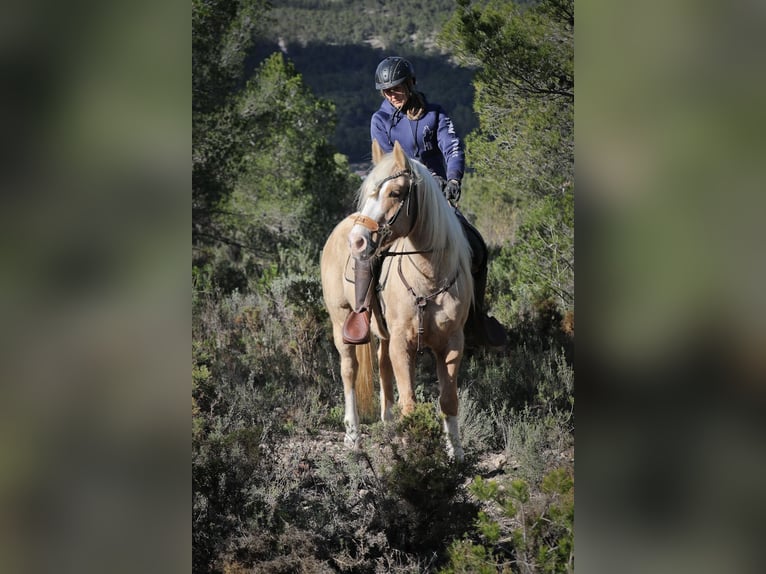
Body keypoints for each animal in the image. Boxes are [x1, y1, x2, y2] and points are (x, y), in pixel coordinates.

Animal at [320, 142, 474, 462]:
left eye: (394, 192)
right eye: (369, 191)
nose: (358, 241)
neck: (428, 278)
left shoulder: (452, 344)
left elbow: (448, 399)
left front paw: (455, 452)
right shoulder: (403, 344)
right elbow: (410, 402)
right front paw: (415, 452)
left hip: (384, 334)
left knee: (382, 368)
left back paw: (390, 426)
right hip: (342, 324)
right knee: (349, 372)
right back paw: (352, 435)